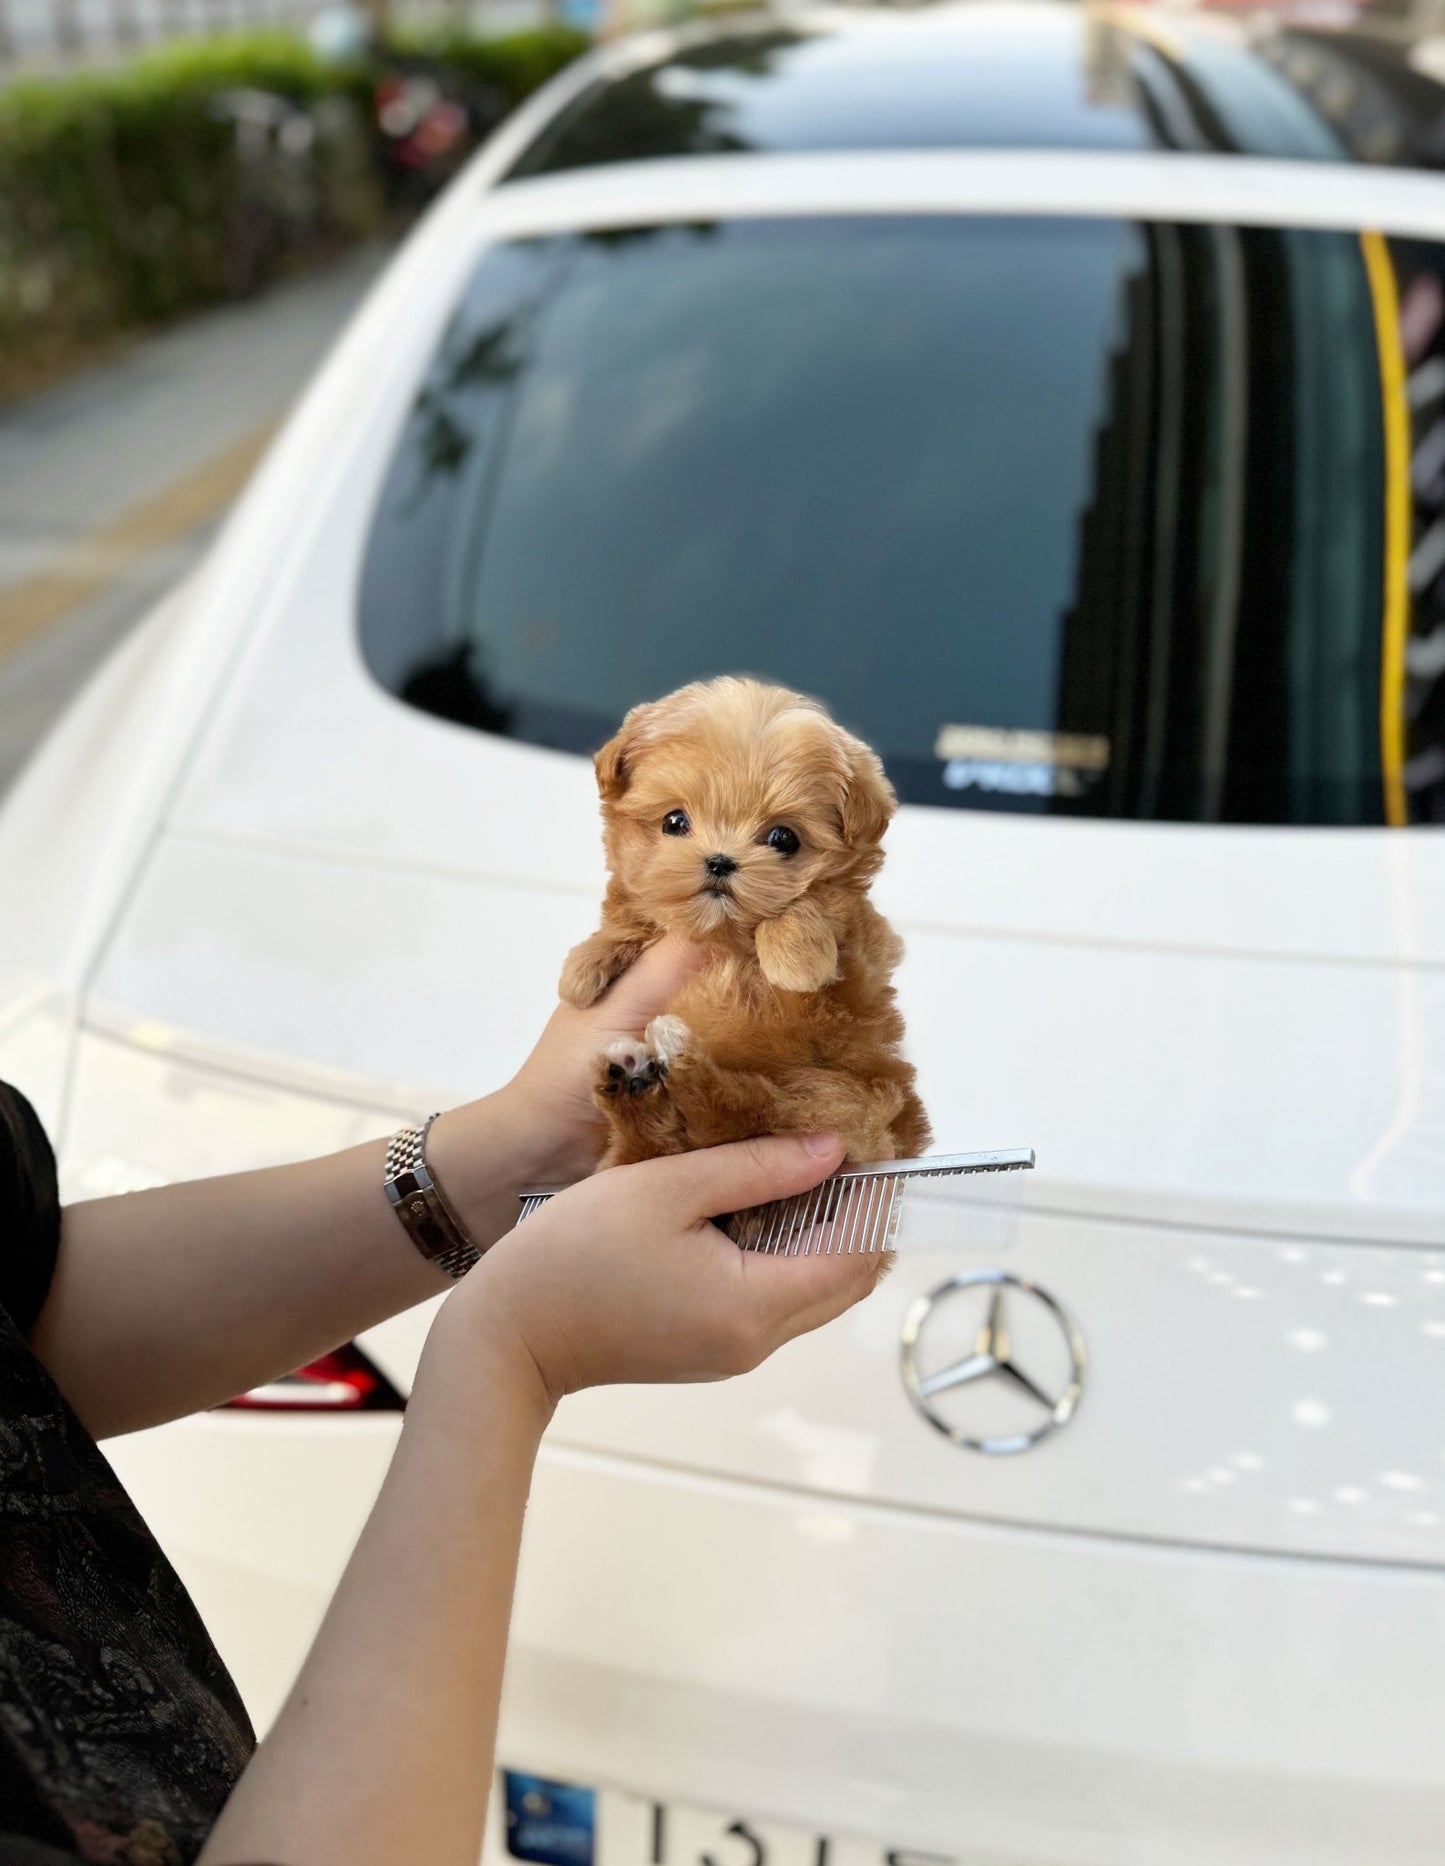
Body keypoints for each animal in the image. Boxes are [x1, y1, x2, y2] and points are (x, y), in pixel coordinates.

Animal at [560, 679, 933, 1164]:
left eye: (783, 839)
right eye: (674, 821)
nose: (720, 861)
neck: (723, 936)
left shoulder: (861, 950)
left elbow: (817, 899)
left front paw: (795, 959)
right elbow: (629, 910)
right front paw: (584, 966)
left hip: (837, 1096)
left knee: (744, 1111)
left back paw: (679, 1062)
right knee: (665, 1139)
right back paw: (631, 1082)